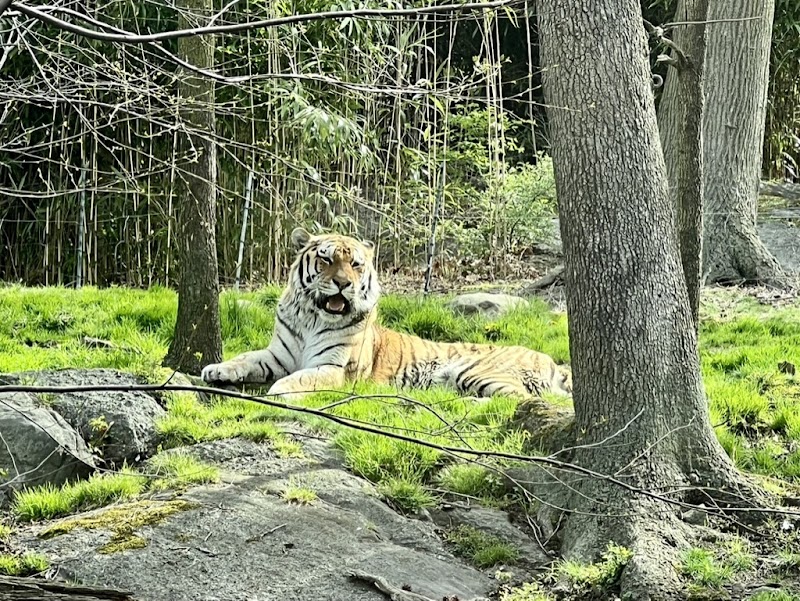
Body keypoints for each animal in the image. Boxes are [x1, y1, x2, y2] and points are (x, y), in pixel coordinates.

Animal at [201, 228, 572, 401]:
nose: (342, 284)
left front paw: (279, 391)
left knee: (517, 400)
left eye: (355, 264)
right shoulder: (277, 354)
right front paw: (215, 370)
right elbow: (246, 357)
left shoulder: (335, 368)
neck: (312, 318)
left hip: (477, 371)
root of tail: (551, 360)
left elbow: (301, 378)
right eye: (326, 259)